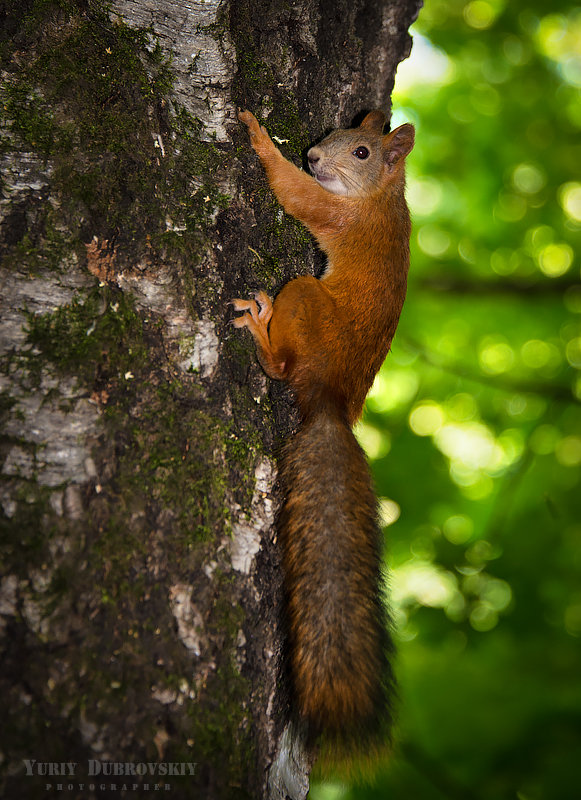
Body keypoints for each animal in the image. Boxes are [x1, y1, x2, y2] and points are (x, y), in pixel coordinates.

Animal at [231, 108, 412, 764]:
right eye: (339, 134)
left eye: (361, 152)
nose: (312, 155)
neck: (383, 196)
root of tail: (329, 399)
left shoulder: (335, 214)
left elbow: (295, 194)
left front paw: (258, 137)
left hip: (304, 297)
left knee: (283, 367)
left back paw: (262, 331)